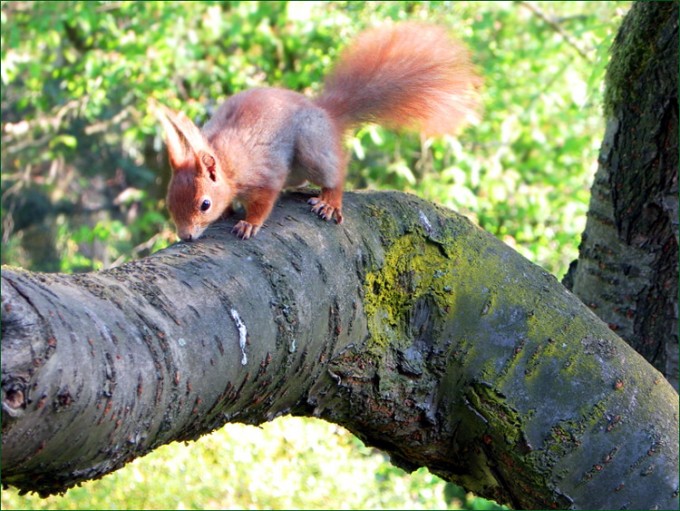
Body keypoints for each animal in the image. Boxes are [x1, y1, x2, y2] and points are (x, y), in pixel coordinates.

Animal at [155, 22, 482, 241]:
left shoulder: (266, 171)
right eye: (169, 201)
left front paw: (249, 223)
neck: (227, 160)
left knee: (335, 172)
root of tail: (325, 113)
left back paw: (329, 201)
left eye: (204, 204)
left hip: (311, 147)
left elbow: (263, 202)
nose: (185, 236)